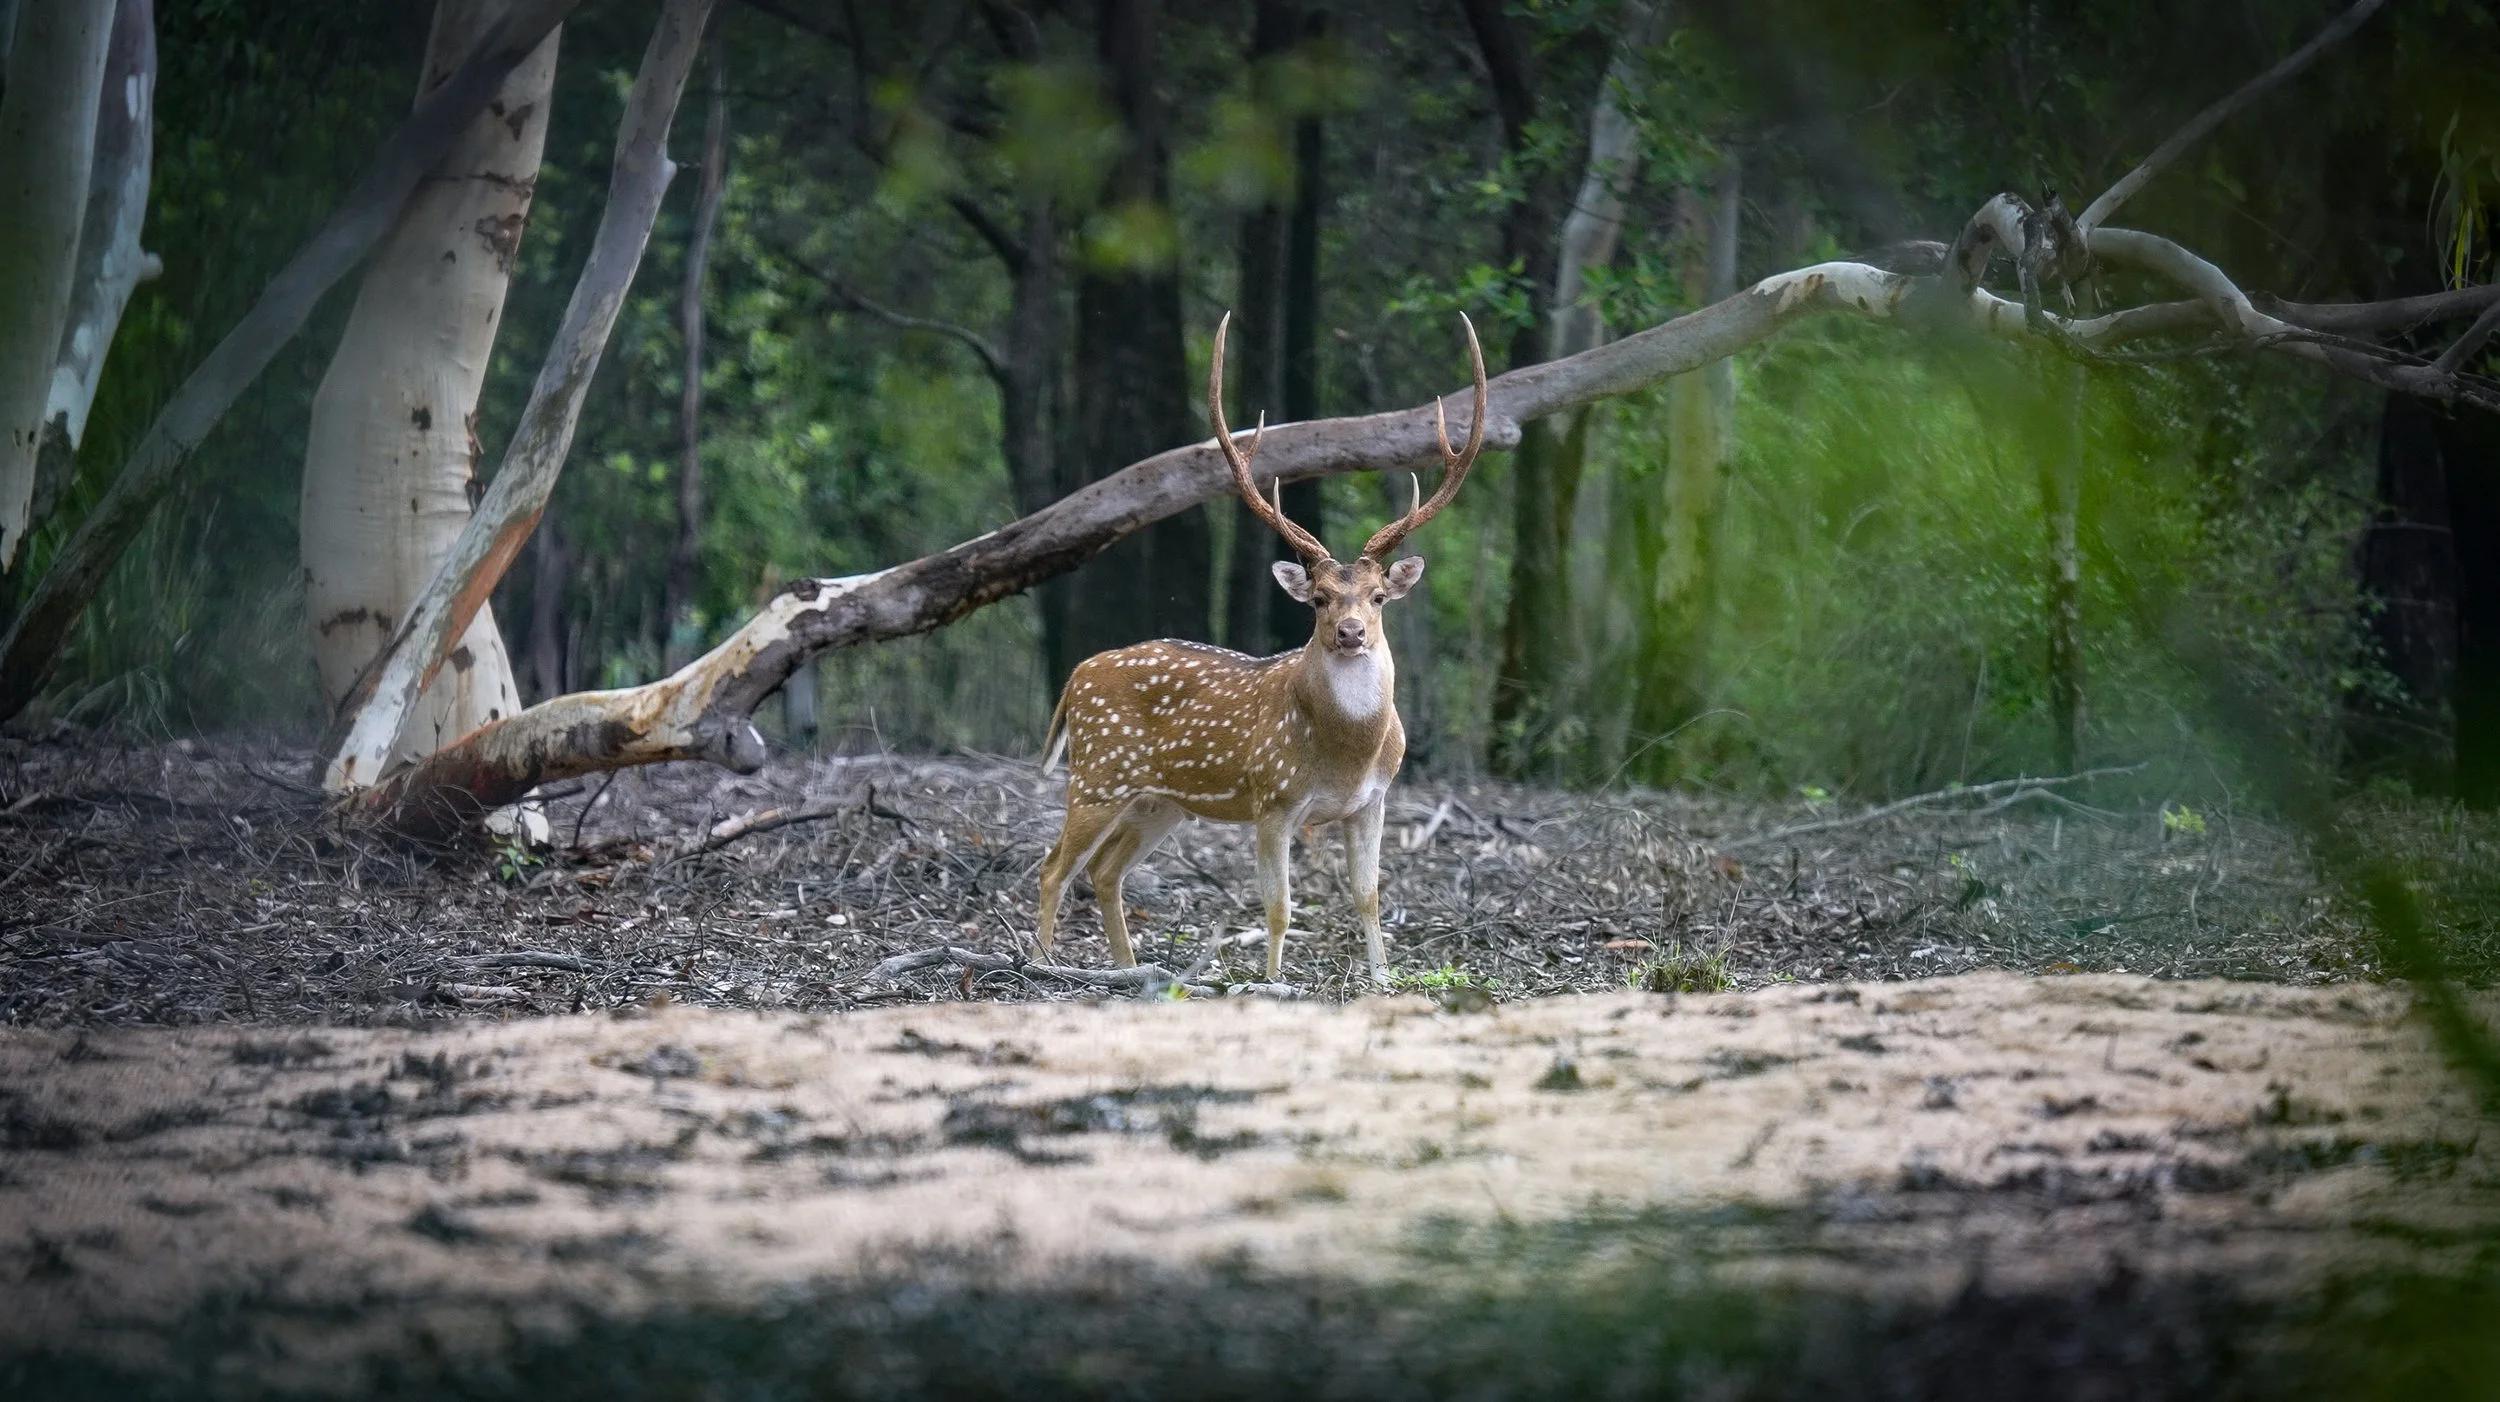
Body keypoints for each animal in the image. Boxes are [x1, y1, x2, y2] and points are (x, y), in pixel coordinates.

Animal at [1034, 310, 1487, 984]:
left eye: (1379, 596)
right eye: (1319, 598)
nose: (1350, 632)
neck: (1346, 755)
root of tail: (1075, 676)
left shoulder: (1373, 802)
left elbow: (1368, 894)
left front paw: (1382, 979)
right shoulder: (1271, 799)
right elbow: (1279, 907)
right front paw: (1274, 980)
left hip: (1157, 801)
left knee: (1103, 870)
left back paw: (1128, 968)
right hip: (1098, 773)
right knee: (1054, 867)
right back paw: (1035, 962)